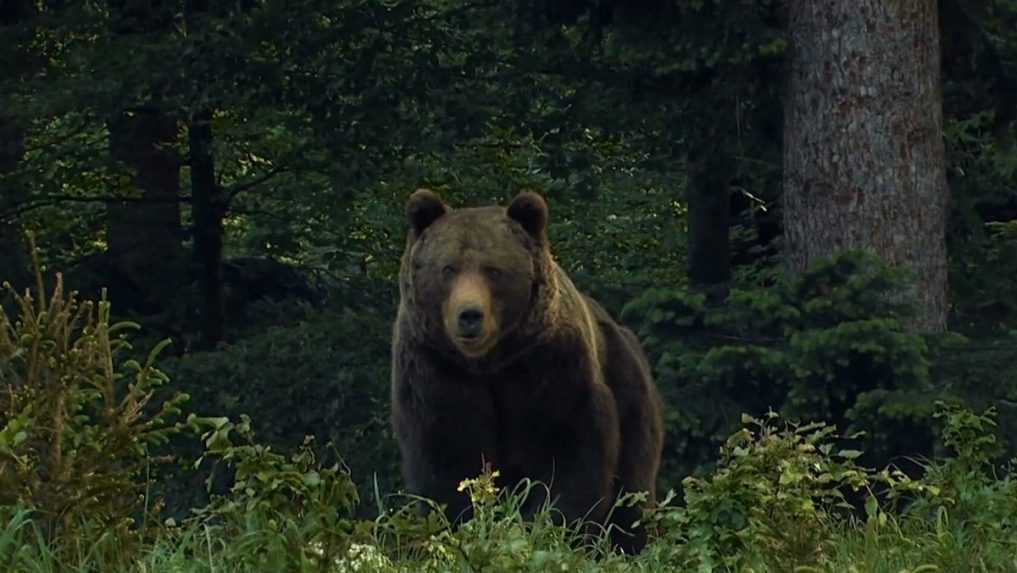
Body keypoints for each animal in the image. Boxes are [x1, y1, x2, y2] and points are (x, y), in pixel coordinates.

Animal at [390, 189, 667, 557]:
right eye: (448, 268)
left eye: (493, 269)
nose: (469, 315)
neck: (489, 363)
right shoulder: (436, 371)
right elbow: (447, 458)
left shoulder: (550, 367)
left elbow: (567, 454)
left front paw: (551, 531)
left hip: (629, 391)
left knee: (633, 494)